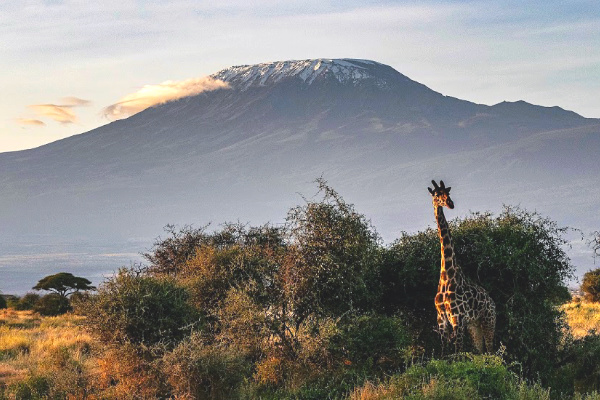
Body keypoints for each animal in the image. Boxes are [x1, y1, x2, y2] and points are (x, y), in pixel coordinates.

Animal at [428, 180, 494, 354]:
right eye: (437, 194)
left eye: (448, 193)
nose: (450, 204)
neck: (447, 275)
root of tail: (492, 301)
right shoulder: (442, 319)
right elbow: (444, 353)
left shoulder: (457, 317)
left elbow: (458, 352)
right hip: (474, 326)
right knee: (480, 351)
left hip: (488, 321)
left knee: (492, 351)